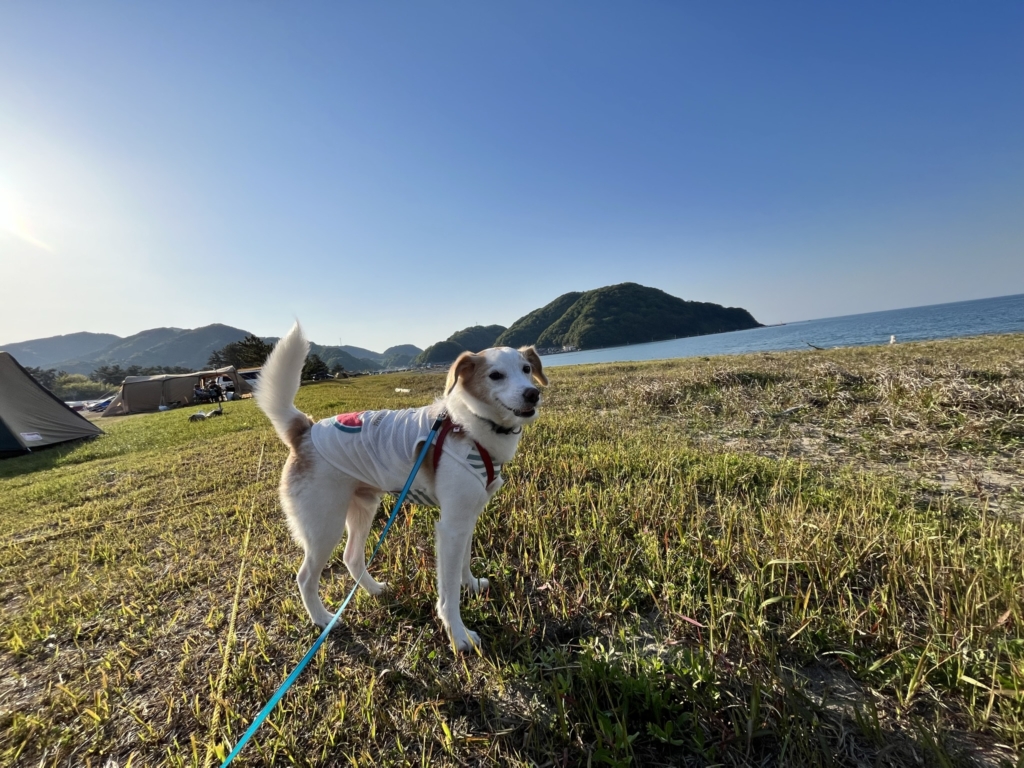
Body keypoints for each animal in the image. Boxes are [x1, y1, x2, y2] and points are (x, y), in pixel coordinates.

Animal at [253, 321, 544, 651]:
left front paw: (470, 584)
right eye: (495, 375)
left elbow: (463, 563)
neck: (470, 426)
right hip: (324, 525)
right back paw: (323, 619)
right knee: (304, 577)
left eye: (526, 369)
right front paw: (458, 635)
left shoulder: (467, 517)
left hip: (363, 507)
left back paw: (374, 590)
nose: (533, 394)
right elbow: (448, 592)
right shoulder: (451, 526)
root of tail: (304, 430)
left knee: (351, 557)